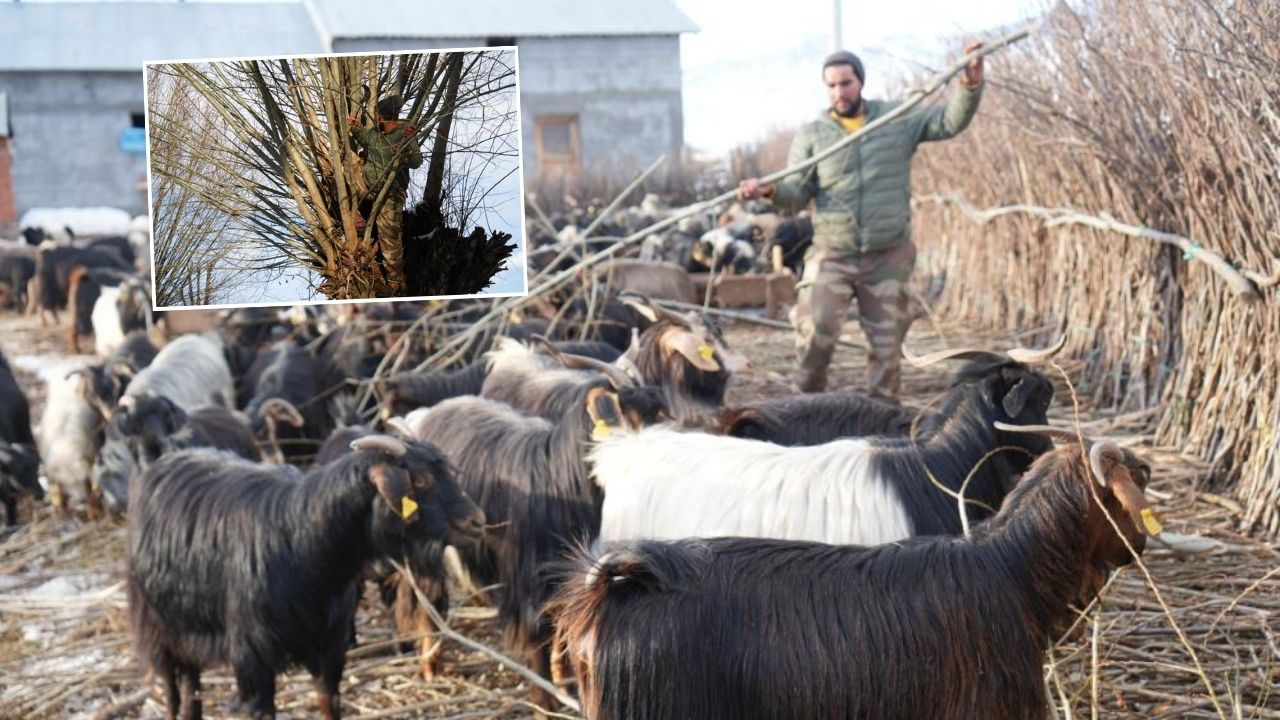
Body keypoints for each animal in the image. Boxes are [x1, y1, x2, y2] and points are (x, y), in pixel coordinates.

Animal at [127, 430, 483, 717]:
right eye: (420, 481)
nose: (477, 521)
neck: (303, 540)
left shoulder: (330, 646)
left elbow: (329, 703)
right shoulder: (251, 657)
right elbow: (260, 710)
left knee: (191, 688)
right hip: (160, 627)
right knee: (172, 690)